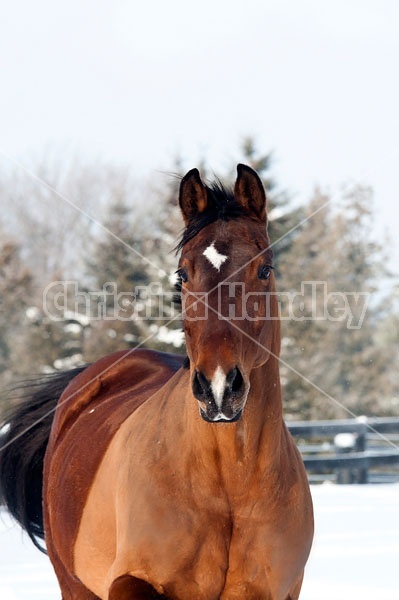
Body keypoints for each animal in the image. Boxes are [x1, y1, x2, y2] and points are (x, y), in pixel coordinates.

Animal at [0, 164, 314, 600]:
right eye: (182, 273)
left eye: (264, 269)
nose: (219, 388)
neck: (229, 488)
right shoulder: (132, 581)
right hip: (74, 583)